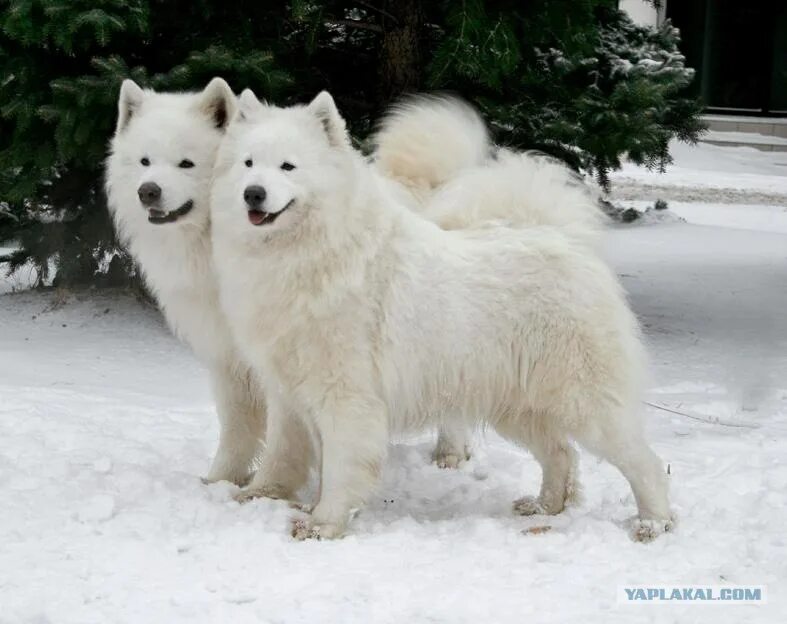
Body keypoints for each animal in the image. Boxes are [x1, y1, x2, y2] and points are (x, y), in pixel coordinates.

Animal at [211, 90, 676, 544]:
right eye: (248, 163)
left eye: (288, 166)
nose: (253, 193)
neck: (307, 253)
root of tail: (565, 239)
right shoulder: (286, 391)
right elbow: (282, 453)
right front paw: (260, 495)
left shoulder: (347, 398)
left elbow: (341, 467)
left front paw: (324, 523)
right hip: (519, 406)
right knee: (561, 454)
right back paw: (546, 507)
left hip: (586, 403)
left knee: (644, 462)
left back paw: (653, 524)